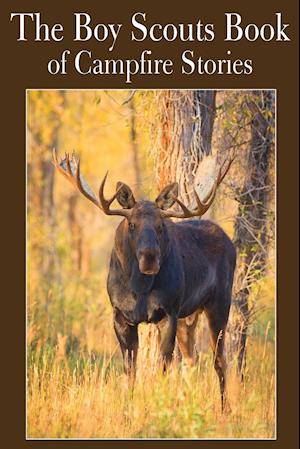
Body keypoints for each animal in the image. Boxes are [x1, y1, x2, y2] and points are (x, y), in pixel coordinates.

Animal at [54, 149, 237, 408]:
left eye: (161, 225)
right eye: (132, 224)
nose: (150, 258)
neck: (138, 289)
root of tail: (228, 241)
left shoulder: (168, 313)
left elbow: (163, 367)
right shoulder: (121, 316)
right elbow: (130, 370)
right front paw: (128, 406)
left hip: (219, 303)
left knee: (219, 360)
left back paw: (224, 410)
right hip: (188, 316)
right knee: (191, 359)